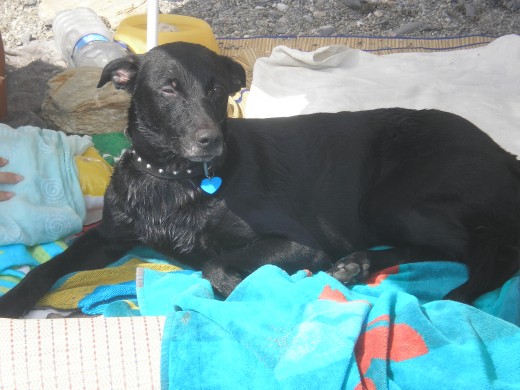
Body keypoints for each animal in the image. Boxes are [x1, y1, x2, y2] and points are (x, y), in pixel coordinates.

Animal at [1, 42, 520, 318]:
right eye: (168, 89)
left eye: (216, 89)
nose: (210, 141)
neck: (174, 179)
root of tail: (504, 153)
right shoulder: (108, 239)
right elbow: (48, 267)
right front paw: (13, 300)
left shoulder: (299, 241)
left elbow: (216, 264)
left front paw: (245, 289)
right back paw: (358, 265)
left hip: (391, 201)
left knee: (486, 249)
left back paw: (461, 295)